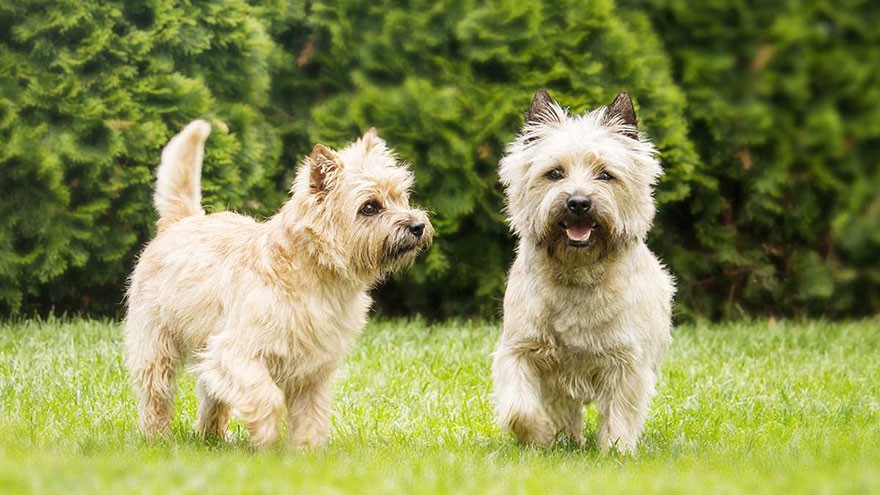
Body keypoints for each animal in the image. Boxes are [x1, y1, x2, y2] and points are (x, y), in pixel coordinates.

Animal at [124, 120, 434, 450]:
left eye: (401, 197)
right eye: (370, 207)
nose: (417, 226)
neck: (316, 275)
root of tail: (181, 221)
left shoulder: (314, 370)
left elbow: (312, 415)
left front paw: (306, 452)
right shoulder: (235, 352)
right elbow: (266, 396)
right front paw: (267, 439)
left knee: (212, 396)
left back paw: (213, 438)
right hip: (156, 346)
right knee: (156, 395)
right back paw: (157, 438)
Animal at [488, 89, 672, 454]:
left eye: (605, 174)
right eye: (554, 173)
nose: (578, 203)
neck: (578, 270)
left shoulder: (626, 361)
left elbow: (620, 410)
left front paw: (615, 449)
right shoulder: (520, 350)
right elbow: (519, 407)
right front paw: (540, 436)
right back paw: (564, 438)